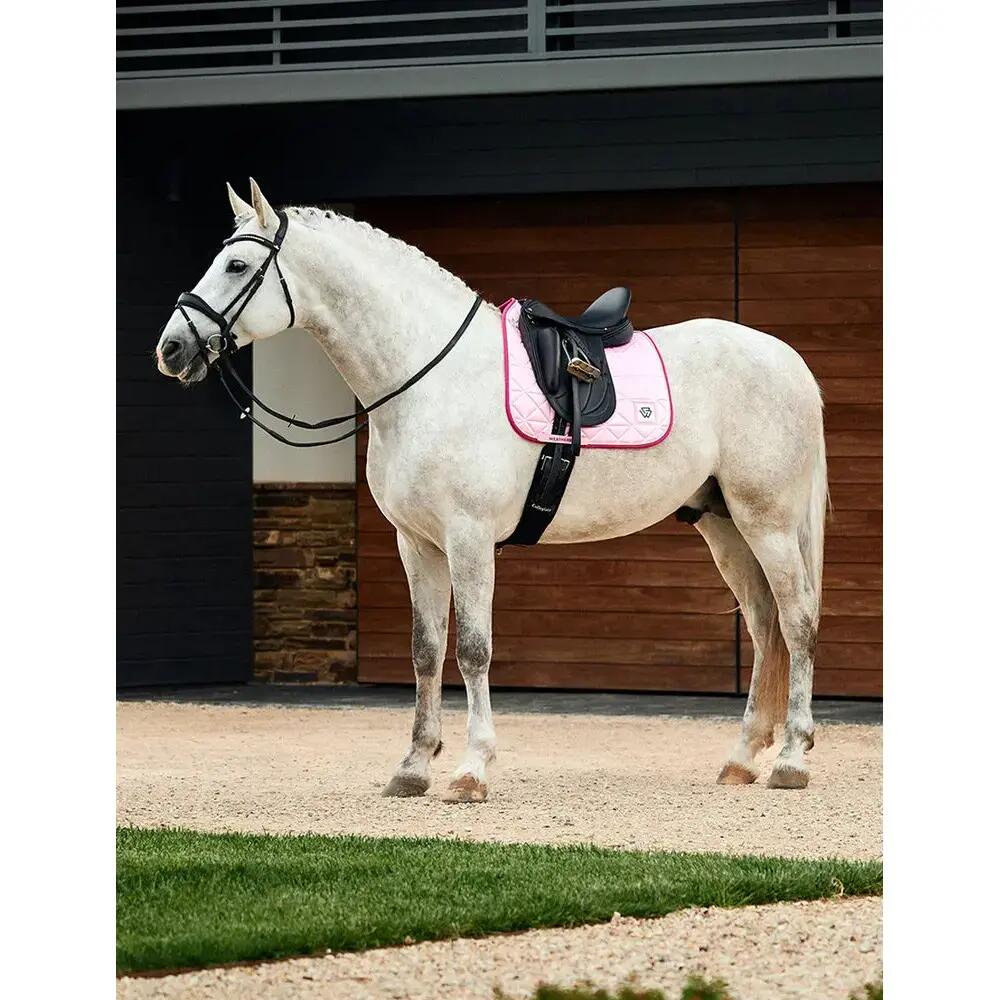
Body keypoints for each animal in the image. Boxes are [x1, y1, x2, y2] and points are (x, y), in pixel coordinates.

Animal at [155, 179, 827, 802]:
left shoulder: (469, 538)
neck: (428, 377)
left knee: (797, 620)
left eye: (237, 265)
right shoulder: (417, 544)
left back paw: (792, 760)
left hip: (766, 522)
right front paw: (413, 767)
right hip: (724, 525)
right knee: (764, 625)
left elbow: (473, 650)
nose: (171, 348)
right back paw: (742, 758)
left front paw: (470, 770)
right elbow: (426, 651)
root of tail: (787, 360)